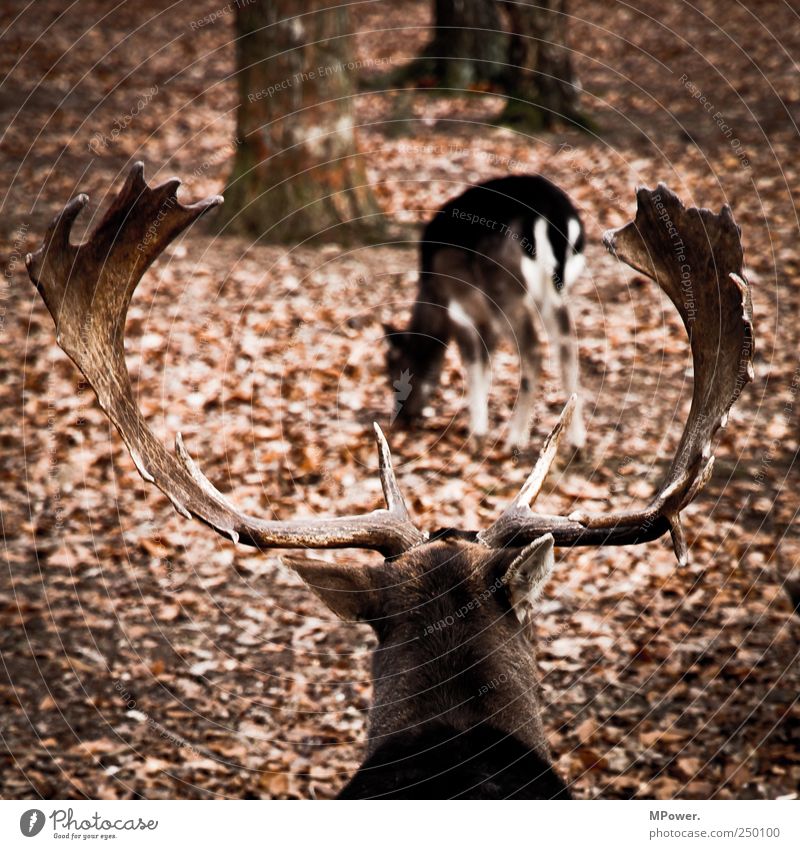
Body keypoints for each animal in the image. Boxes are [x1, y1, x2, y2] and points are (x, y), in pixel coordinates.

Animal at [386, 172, 588, 450]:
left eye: (394, 374)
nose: (401, 417)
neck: (432, 293)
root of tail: (555, 214)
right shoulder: (484, 320)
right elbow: (486, 363)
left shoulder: (458, 305)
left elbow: (472, 365)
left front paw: (477, 434)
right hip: (558, 290)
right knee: (568, 343)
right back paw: (578, 442)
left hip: (505, 289)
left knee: (533, 350)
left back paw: (515, 439)